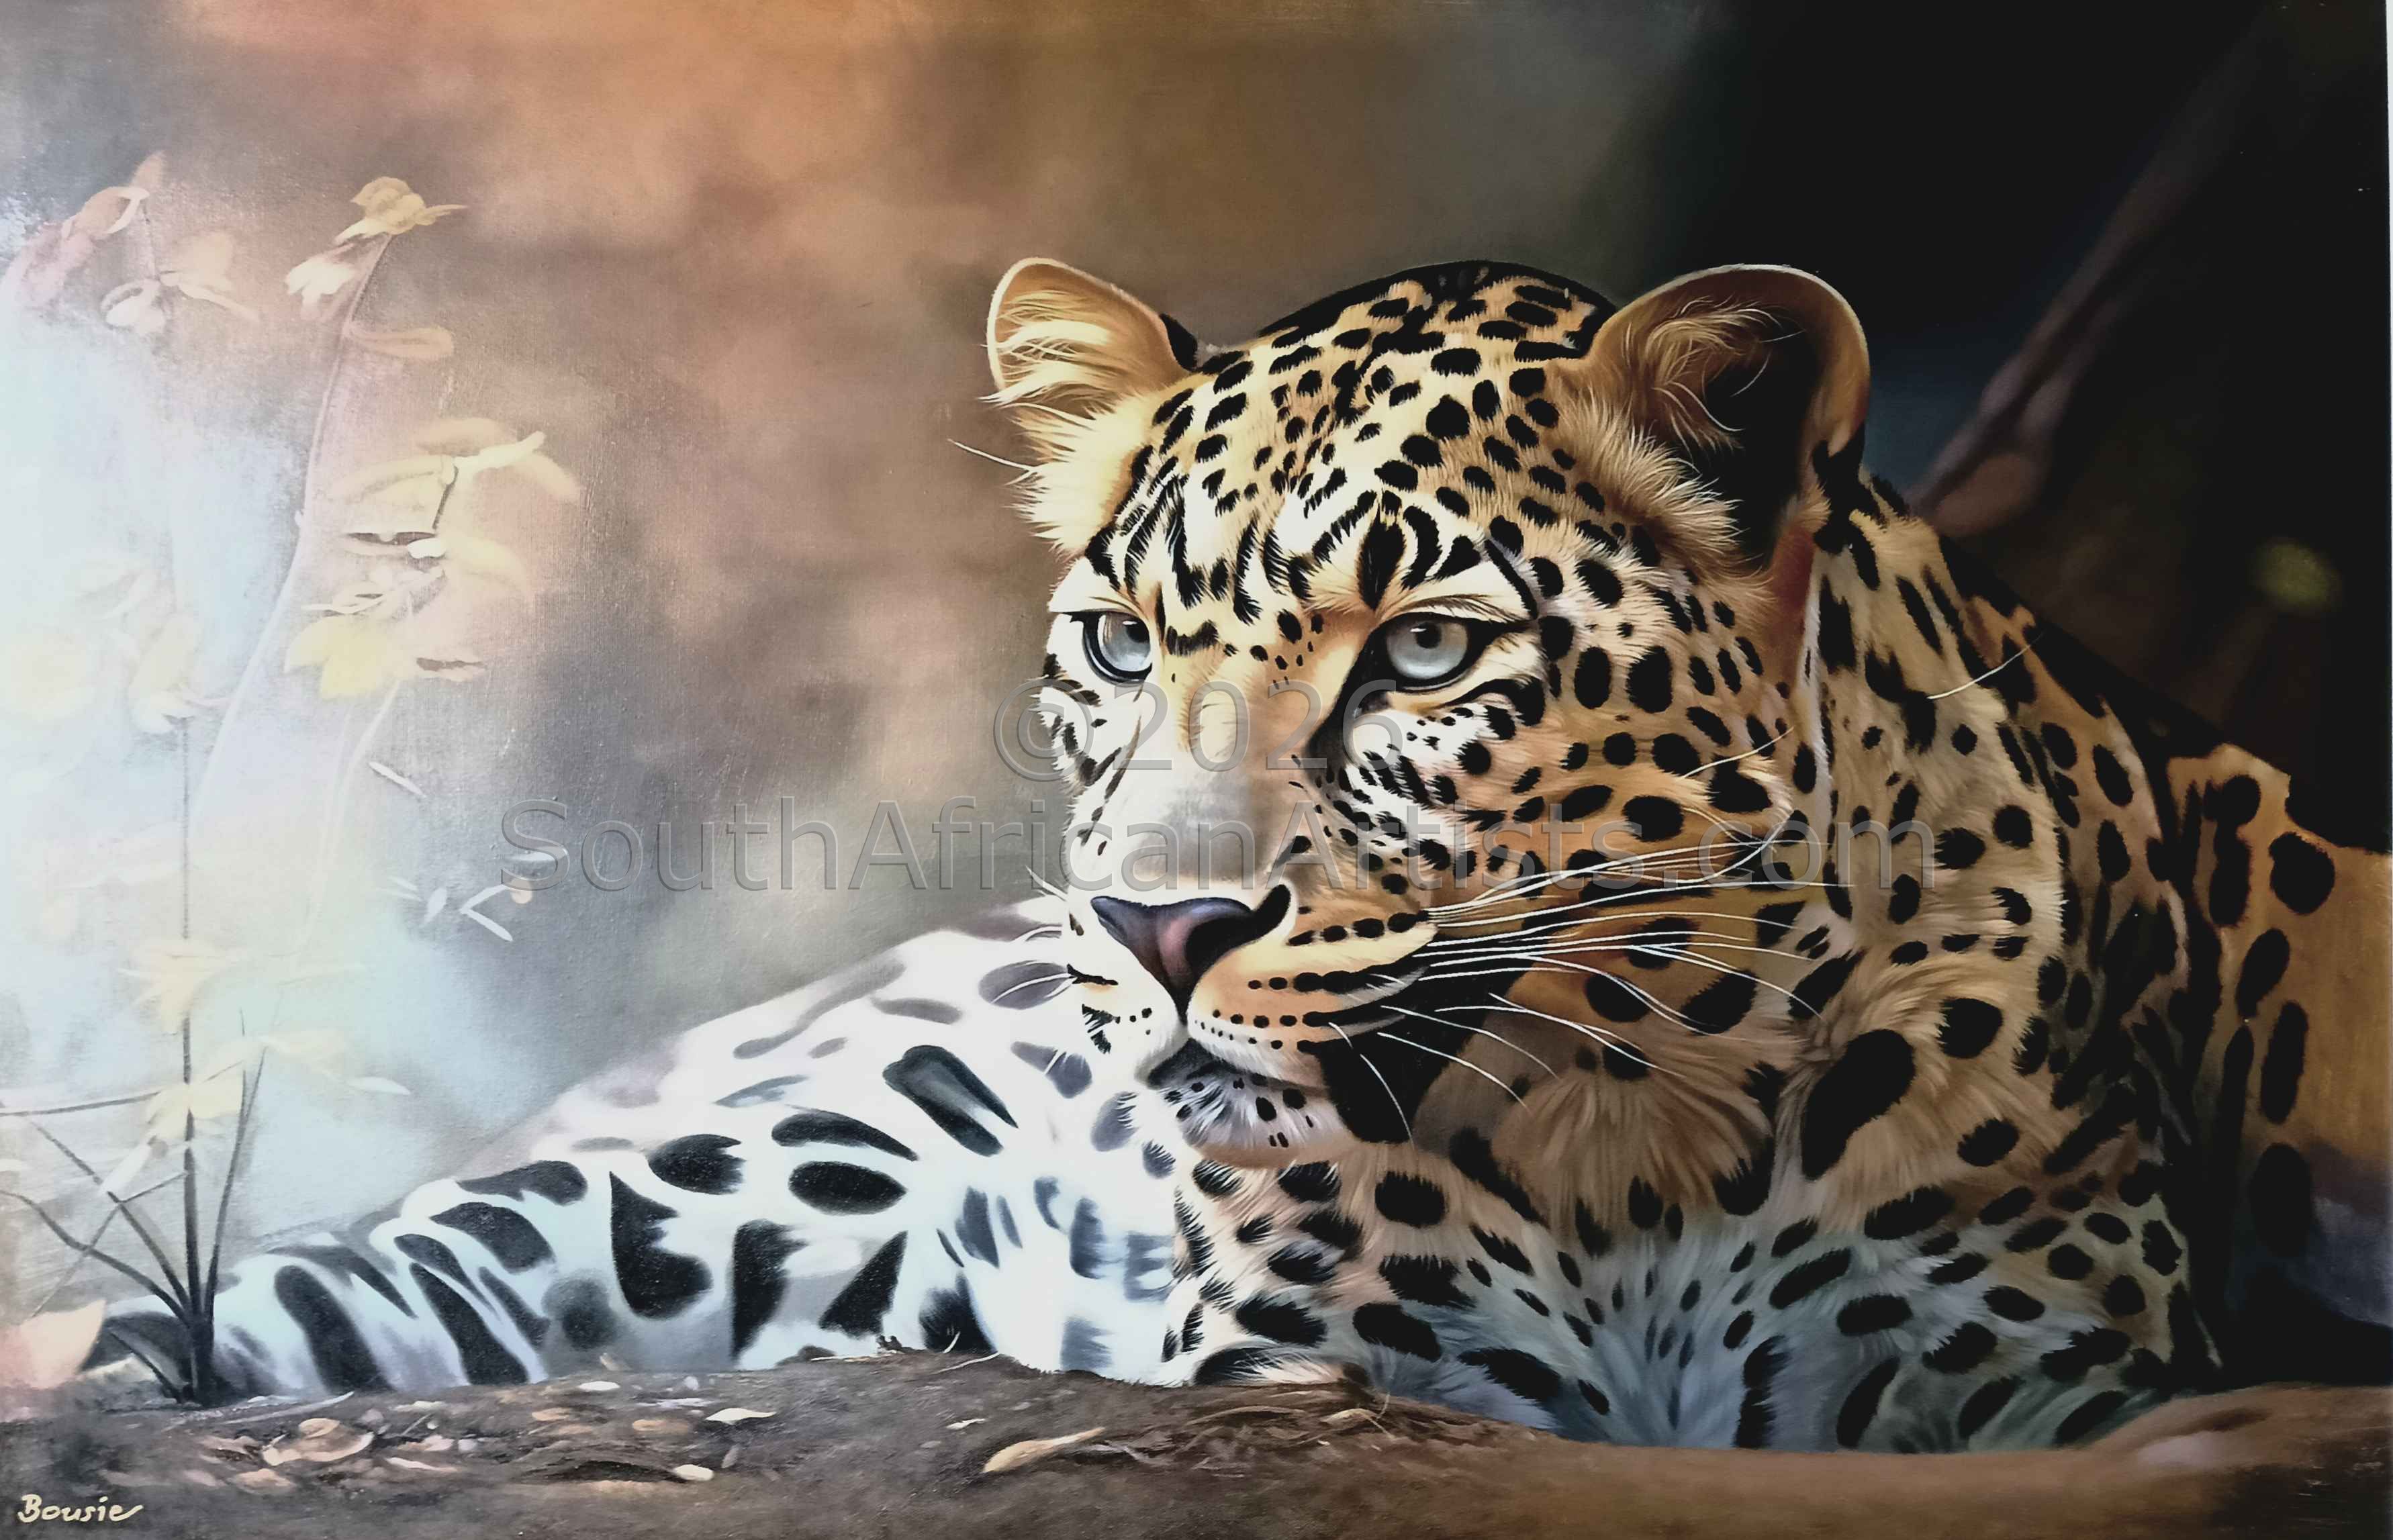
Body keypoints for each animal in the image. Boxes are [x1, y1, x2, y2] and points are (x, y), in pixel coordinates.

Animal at [97, 257, 2390, 1452]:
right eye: (1122, 641)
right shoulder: (1356, 1364)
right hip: (756, 1165)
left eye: (1429, 651)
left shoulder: (2027, 1367)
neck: (1642, 1123)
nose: (1155, 923)